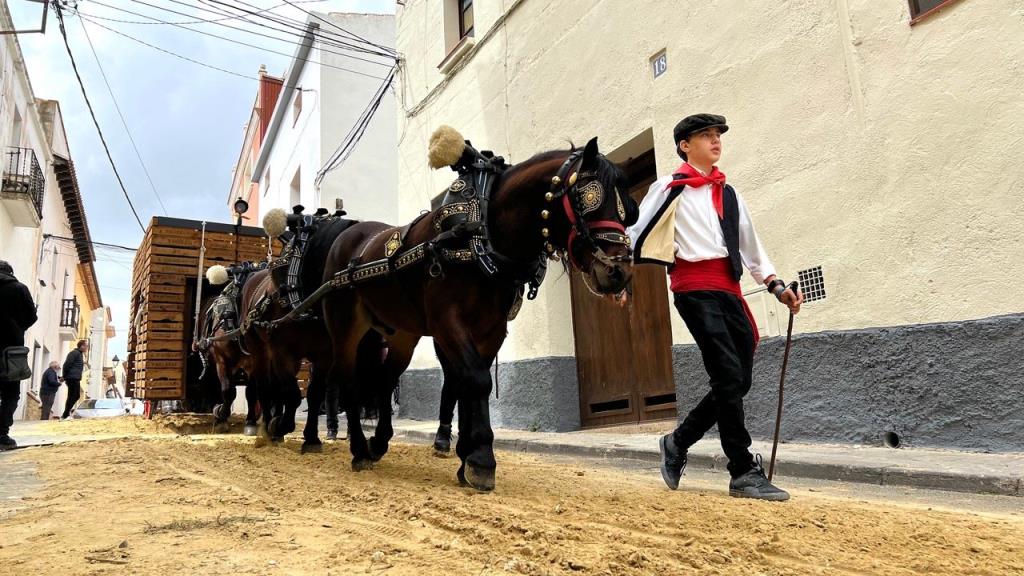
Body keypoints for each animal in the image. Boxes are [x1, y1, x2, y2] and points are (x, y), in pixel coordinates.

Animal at [323, 135, 634, 487]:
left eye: (629, 210)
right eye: (587, 198)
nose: (618, 272)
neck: (480, 230)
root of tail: (347, 235)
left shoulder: (492, 328)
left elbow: (466, 383)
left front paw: (466, 455)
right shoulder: (447, 322)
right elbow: (477, 379)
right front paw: (482, 459)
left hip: (403, 334)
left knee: (385, 379)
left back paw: (378, 441)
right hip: (345, 326)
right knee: (348, 380)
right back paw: (358, 449)